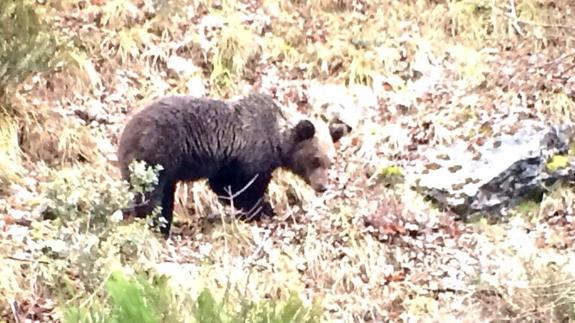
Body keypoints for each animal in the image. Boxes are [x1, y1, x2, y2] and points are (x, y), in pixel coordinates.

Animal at [116, 93, 342, 238]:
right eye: (316, 159)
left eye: (330, 161)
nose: (323, 186)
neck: (277, 139)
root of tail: (125, 133)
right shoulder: (247, 158)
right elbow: (238, 187)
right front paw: (263, 208)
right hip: (156, 155)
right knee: (150, 196)